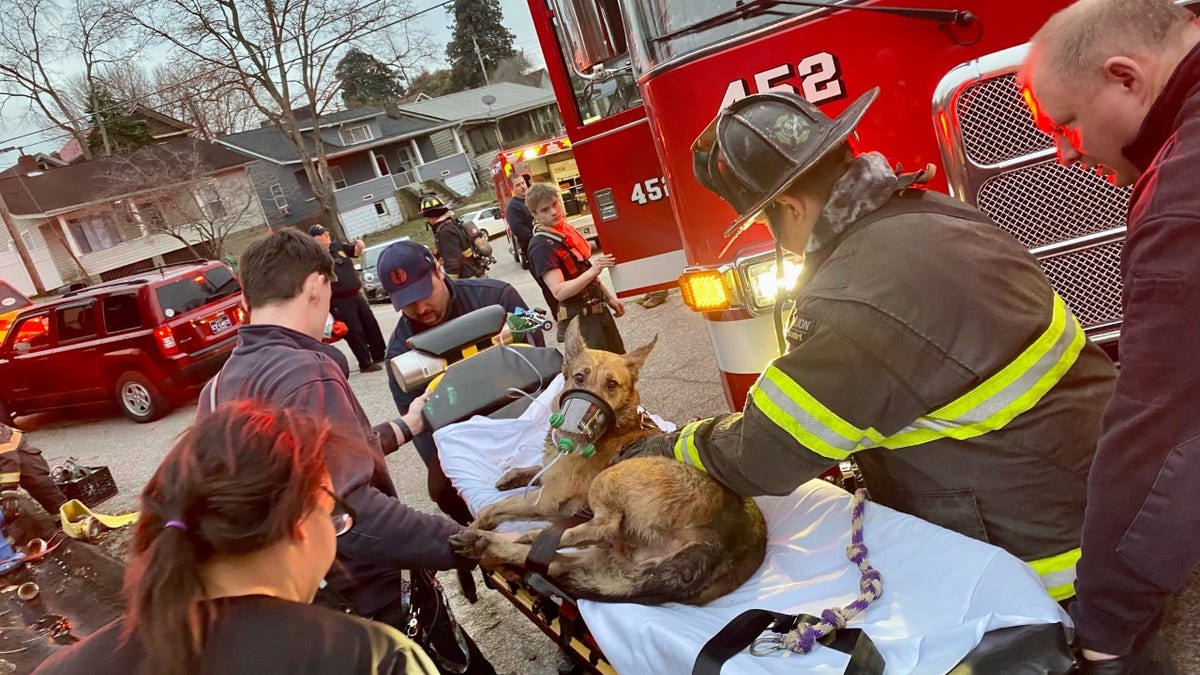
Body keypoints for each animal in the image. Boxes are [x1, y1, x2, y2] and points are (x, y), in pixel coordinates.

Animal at [446, 319, 763, 605]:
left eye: (612, 384)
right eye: (579, 378)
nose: (577, 429)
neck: (619, 424)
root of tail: (728, 544)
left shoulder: (546, 499)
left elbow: (495, 507)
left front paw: (478, 521)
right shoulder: (550, 475)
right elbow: (537, 468)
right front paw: (514, 476)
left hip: (609, 480)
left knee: (602, 528)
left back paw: (524, 535)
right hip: (607, 561)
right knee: (554, 562)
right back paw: (484, 544)